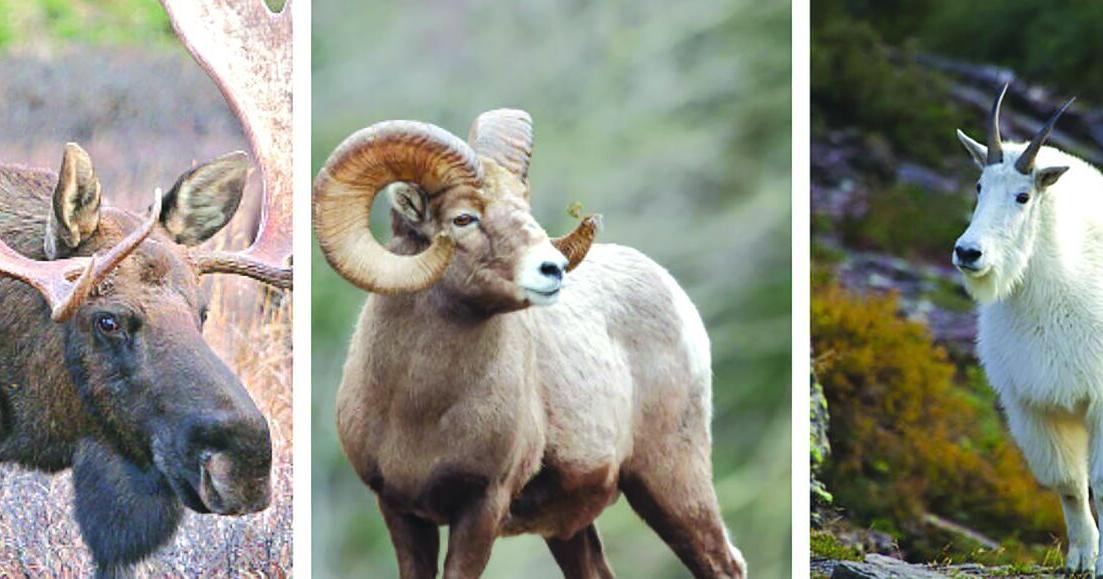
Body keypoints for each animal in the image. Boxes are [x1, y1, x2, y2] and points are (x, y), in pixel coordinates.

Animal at [313, 109, 746, 579]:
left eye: (524, 207)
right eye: (463, 218)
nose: (552, 269)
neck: (417, 410)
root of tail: (673, 292)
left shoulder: (482, 508)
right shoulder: (400, 512)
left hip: (670, 481)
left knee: (722, 563)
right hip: (571, 529)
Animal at [954, 83, 1103, 574]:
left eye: (1023, 196)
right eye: (979, 186)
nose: (968, 253)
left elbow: (1100, 482)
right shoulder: (1034, 404)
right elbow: (1069, 484)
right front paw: (1080, 559)